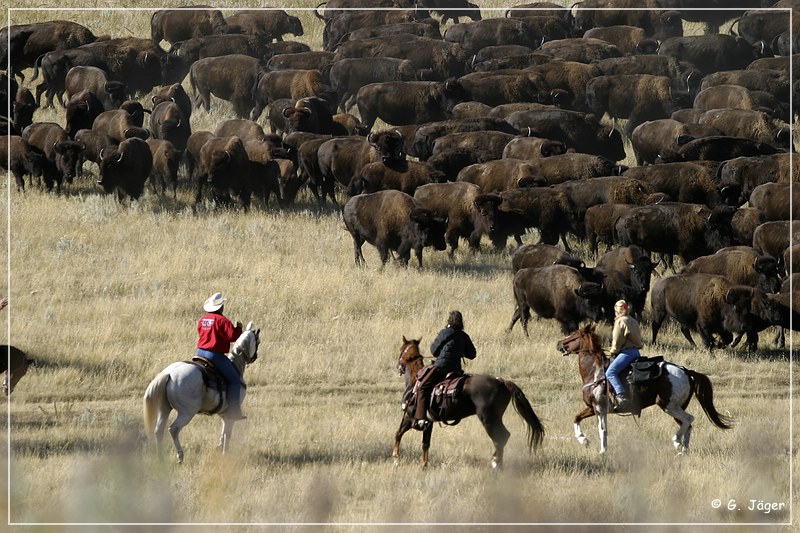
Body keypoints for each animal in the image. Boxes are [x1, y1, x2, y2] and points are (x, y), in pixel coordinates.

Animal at [392, 336, 548, 470]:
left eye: (401, 349)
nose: (398, 366)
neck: (414, 382)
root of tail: (502, 381)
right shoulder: (428, 422)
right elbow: (424, 442)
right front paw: (422, 464)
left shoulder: (411, 416)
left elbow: (399, 433)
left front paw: (396, 458)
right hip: (496, 418)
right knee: (505, 437)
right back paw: (496, 462)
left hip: (488, 419)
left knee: (500, 438)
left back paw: (496, 464)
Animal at [556, 324, 732, 454]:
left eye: (573, 334)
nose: (559, 344)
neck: (595, 371)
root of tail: (686, 371)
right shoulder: (593, 408)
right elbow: (577, 418)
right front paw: (583, 440)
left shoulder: (599, 408)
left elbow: (602, 430)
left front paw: (602, 451)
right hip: (677, 407)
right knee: (687, 425)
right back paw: (683, 450)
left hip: (668, 406)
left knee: (689, 419)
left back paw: (676, 443)